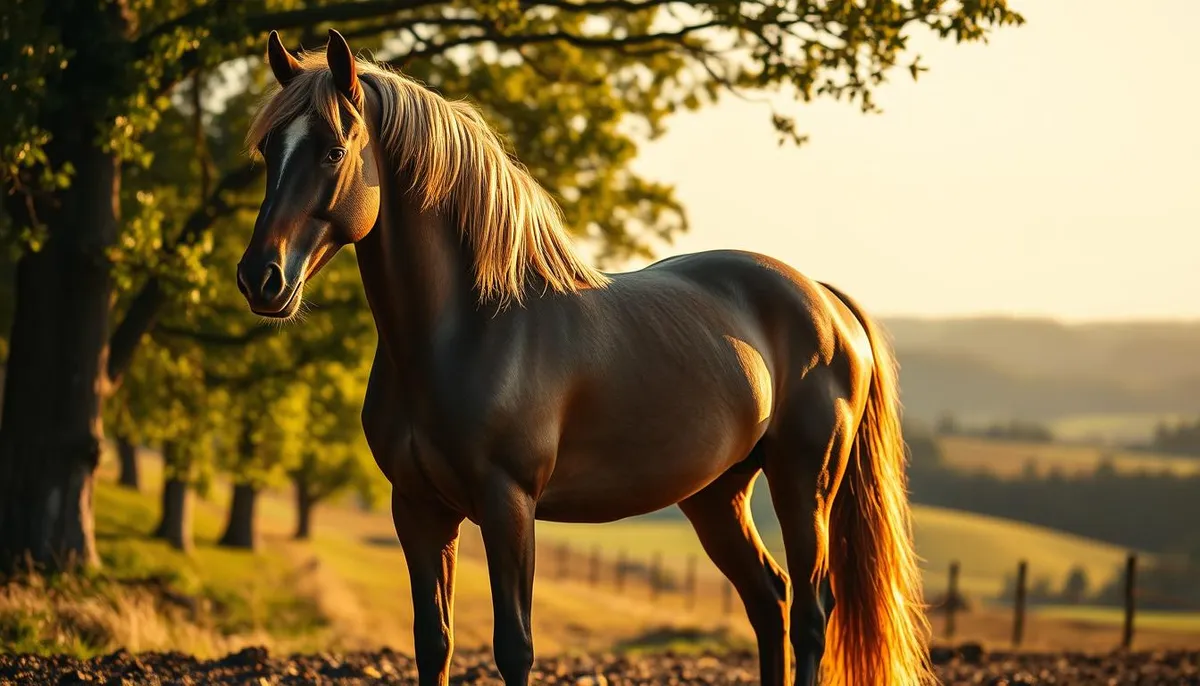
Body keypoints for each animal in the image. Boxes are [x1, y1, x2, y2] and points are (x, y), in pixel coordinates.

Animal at [236, 28, 935, 686]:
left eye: (333, 150)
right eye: (269, 150)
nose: (259, 278)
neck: (469, 331)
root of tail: (824, 300)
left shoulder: (509, 505)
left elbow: (514, 648)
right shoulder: (418, 509)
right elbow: (432, 644)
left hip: (802, 484)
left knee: (812, 612)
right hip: (718, 494)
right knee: (769, 600)